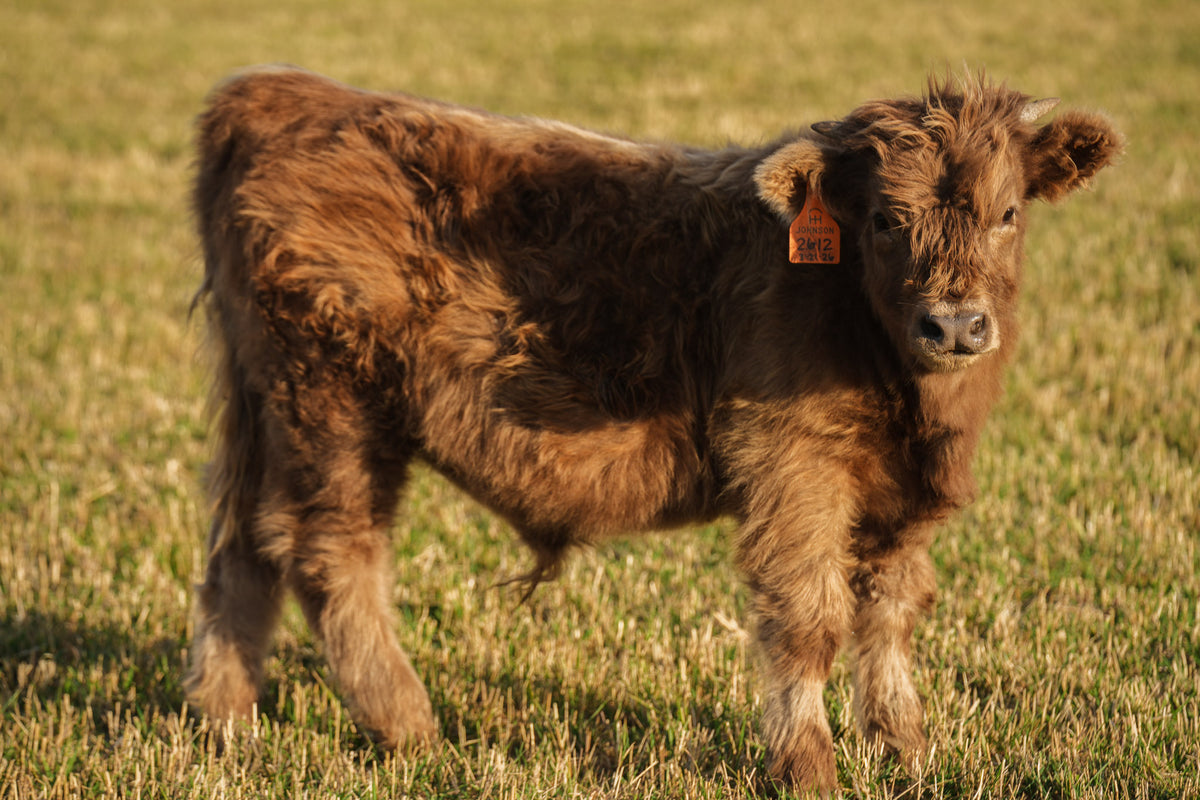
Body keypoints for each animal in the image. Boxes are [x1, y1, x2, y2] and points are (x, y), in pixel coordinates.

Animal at [185, 66, 1120, 791]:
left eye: (1008, 213)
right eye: (887, 219)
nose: (955, 325)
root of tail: (279, 91)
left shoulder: (901, 497)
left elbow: (889, 612)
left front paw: (909, 754)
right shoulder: (793, 466)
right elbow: (810, 615)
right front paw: (809, 768)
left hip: (263, 407)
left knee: (242, 551)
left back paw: (224, 724)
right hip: (331, 405)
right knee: (328, 553)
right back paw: (409, 729)